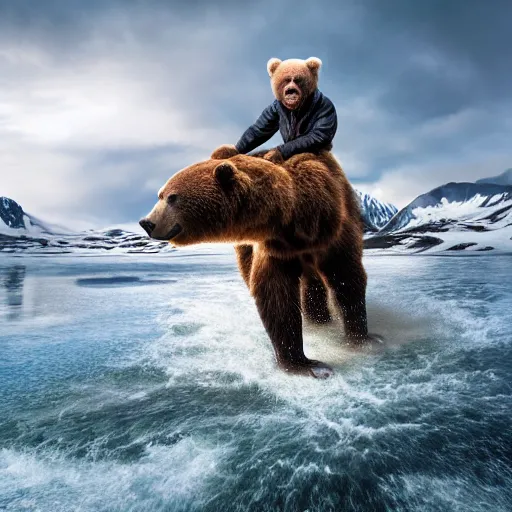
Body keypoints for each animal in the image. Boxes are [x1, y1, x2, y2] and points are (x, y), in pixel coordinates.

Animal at [140, 150, 380, 378]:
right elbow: (276, 297)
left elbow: (346, 278)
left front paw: (360, 340)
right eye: (160, 195)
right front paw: (305, 364)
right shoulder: (274, 249)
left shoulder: (333, 230)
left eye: (172, 197)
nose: (146, 222)